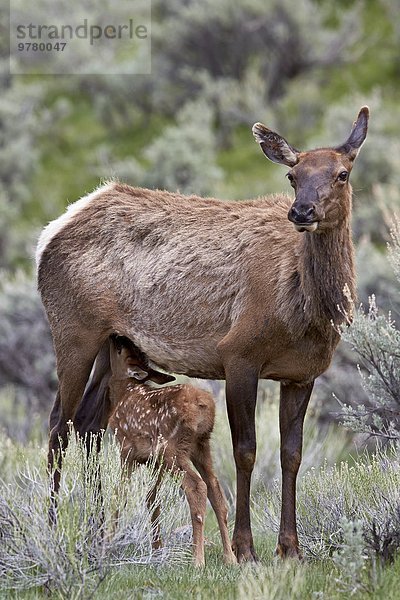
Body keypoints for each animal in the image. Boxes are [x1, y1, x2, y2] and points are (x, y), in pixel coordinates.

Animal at [36, 105, 368, 560]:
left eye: (342, 174)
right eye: (292, 175)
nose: (301, 211)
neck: (308, 313)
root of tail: (50, 232)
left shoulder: (302, 373)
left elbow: (292, 454)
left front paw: (291, 549)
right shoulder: (238, 355)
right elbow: (245, 451)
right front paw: (245, 550)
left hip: (113, 344)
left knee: (88, 424)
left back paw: (96, 530)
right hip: (73, 330)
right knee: (58, 426)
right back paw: (54, 531)